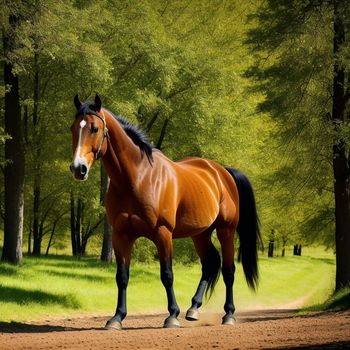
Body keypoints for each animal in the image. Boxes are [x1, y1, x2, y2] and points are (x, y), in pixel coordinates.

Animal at [69, 94, 260, 330]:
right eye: (73, 128)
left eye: (94, 128)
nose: (78, 168)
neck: (137, 178)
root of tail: (222, 172)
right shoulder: (121, 235)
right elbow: (122, 276)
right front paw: (117, 318)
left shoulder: (163, 233)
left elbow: (167, 275)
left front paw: (172, 315)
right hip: (200, 234)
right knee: (210, 264)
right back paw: (193, 309)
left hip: (226, 230)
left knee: (228, 271)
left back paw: (229, 314)